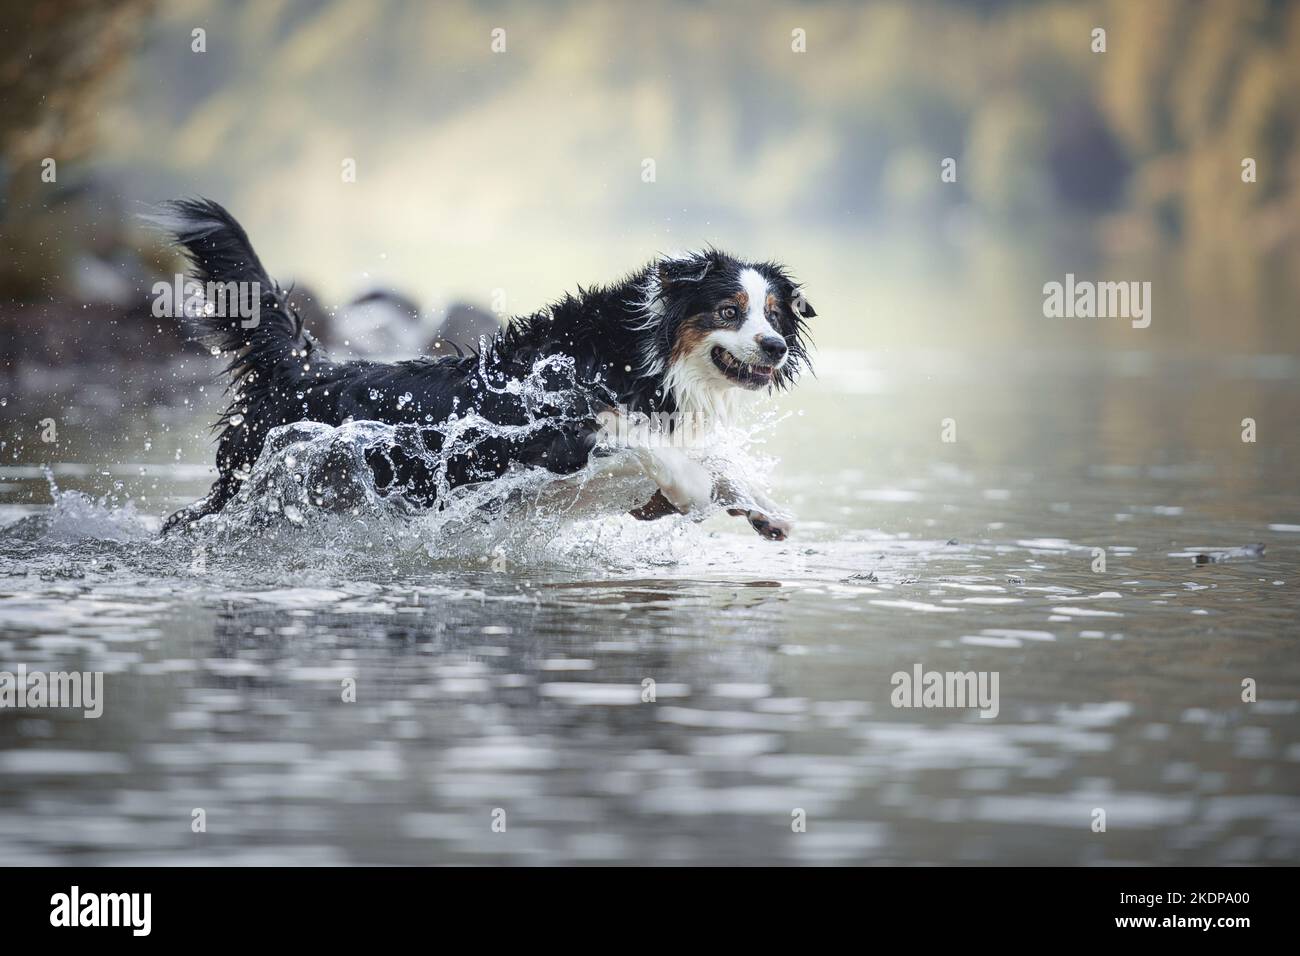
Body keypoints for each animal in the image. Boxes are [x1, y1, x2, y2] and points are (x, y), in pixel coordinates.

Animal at [152, 196, 816, 538]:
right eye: (729, 311)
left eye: (774, 316)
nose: (774, 348)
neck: (639, 352)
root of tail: (303, 368)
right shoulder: (550, 425)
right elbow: (638, 438)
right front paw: (694, 490)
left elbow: (708, 464)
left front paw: (763, 510)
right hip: (250, 485)